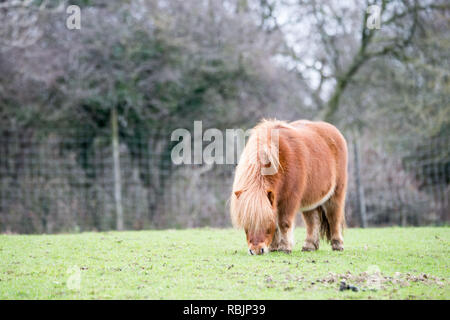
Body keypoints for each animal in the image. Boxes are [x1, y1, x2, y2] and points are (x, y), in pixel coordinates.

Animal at [230, 119, 350, 255]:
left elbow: (284, 223)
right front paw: (274, 247)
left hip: (335, 194)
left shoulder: (289, 199)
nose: (256, 250)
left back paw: (337, 245)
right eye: (246, 225)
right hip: (310, 199)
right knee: (312, 221)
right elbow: (277, 224)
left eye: (266, 223)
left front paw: (285, 247)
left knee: (333, 217)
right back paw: (309, 246)